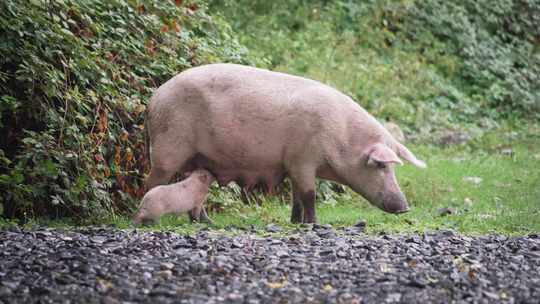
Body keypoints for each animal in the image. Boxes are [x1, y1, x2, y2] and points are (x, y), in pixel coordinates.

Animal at [143, 63, 426, 223]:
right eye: (381, 166)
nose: (405, 208)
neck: (341, 137)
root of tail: (154, 98)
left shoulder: (291, 164)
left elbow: (296, 196)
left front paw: (296, 222)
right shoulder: (303, 159)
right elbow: (310, 194)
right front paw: (313, 224)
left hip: (196, 159)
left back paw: (206, 223)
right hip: (167, 148)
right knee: (152, 182)